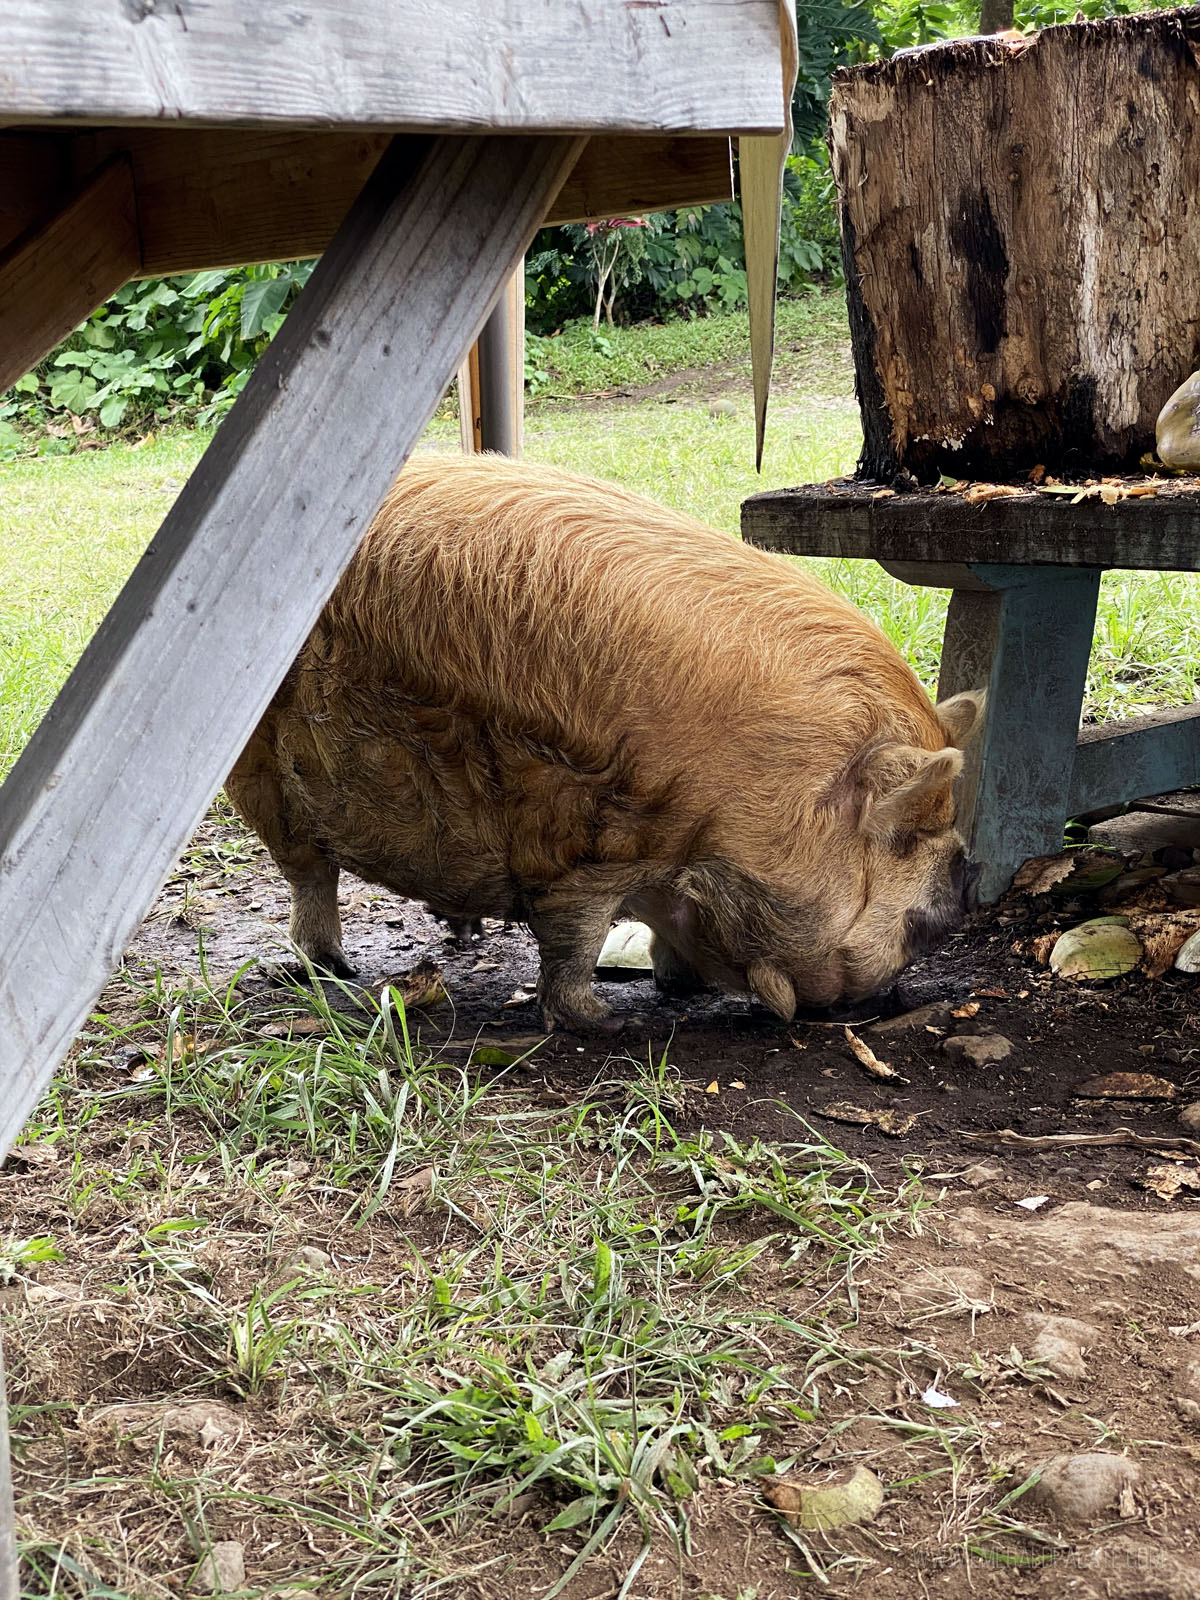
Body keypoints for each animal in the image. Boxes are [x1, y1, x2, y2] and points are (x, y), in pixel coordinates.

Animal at [230, 451, 979, 1024]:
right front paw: (606, 1020)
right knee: (308, 876)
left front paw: (682, 987)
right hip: (257, 773)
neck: (754, 799)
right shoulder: (591, 849)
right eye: (905, 835)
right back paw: (329, 970)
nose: (963, 879)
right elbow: (575, 938)